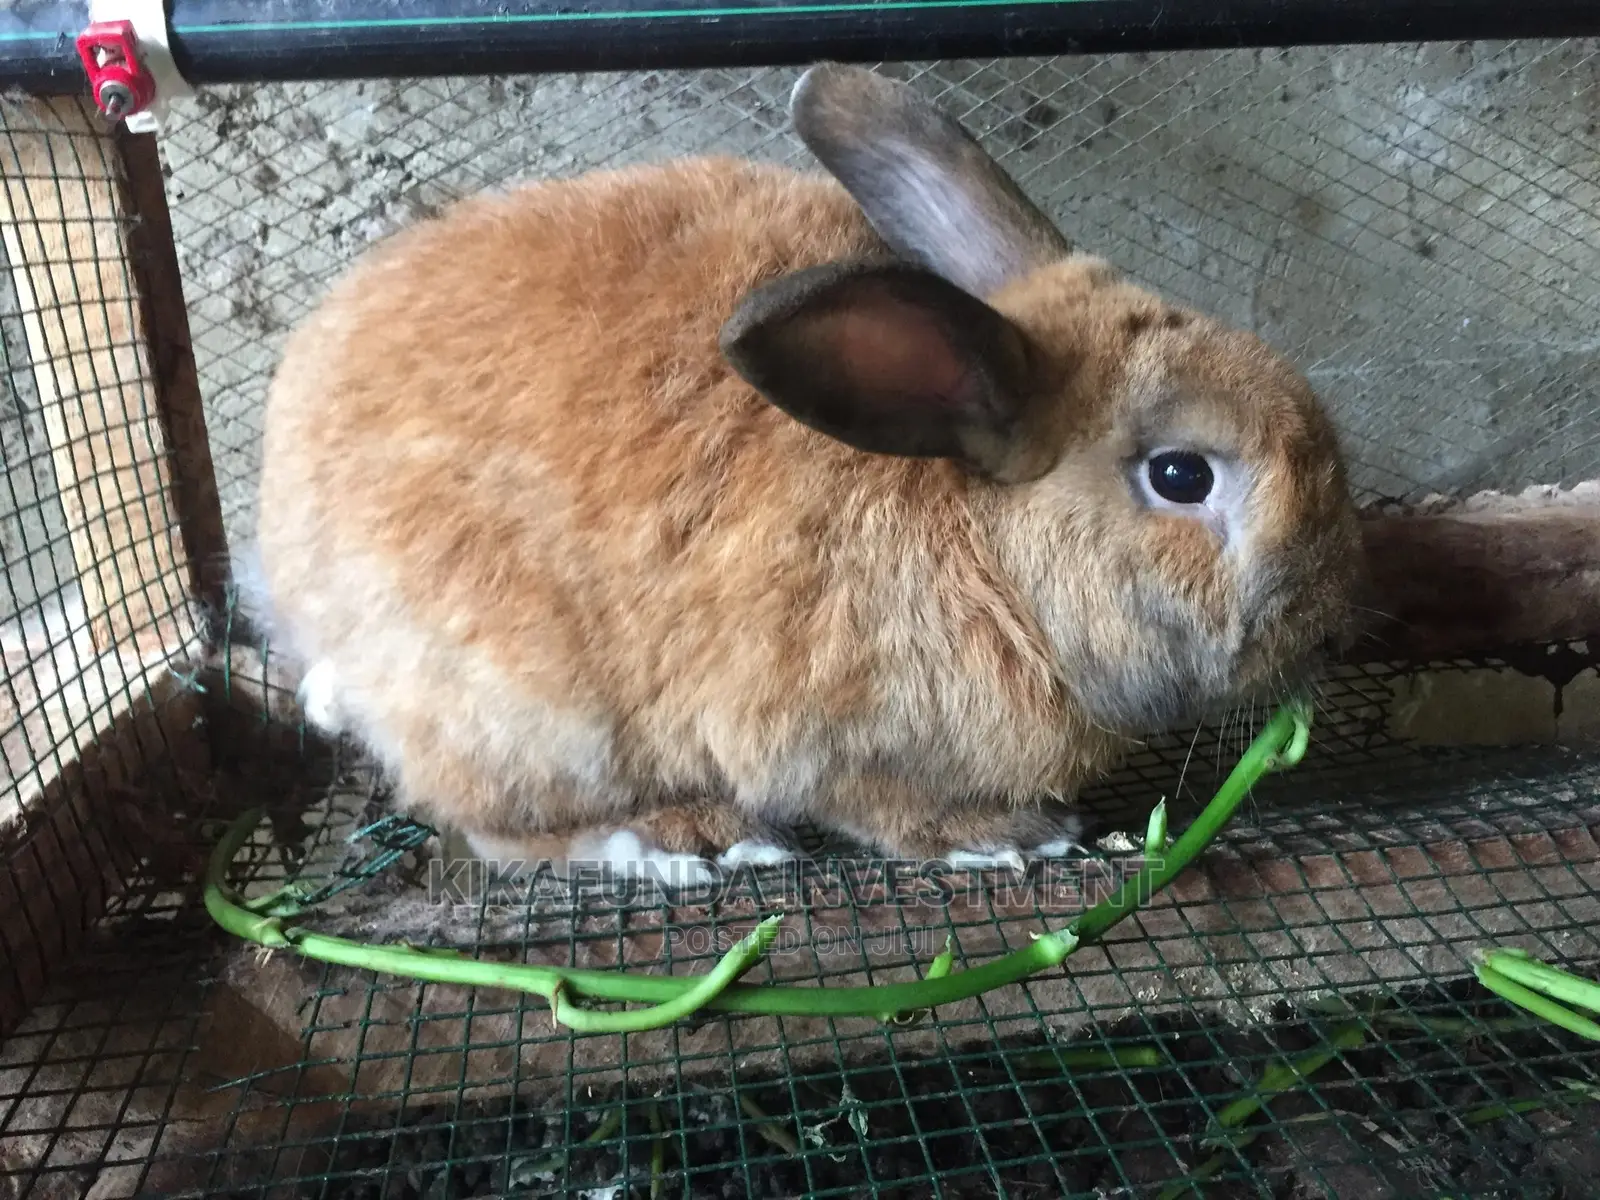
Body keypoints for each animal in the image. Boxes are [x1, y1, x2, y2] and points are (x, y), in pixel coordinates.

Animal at [254, 63, 1363, 883]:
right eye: (1180, 476)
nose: (1332, 616)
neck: (990, 559)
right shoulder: (825, 742)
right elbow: (882, 810)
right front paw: (1008, 837)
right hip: (528, 716)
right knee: (493, 825)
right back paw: (681, 838)